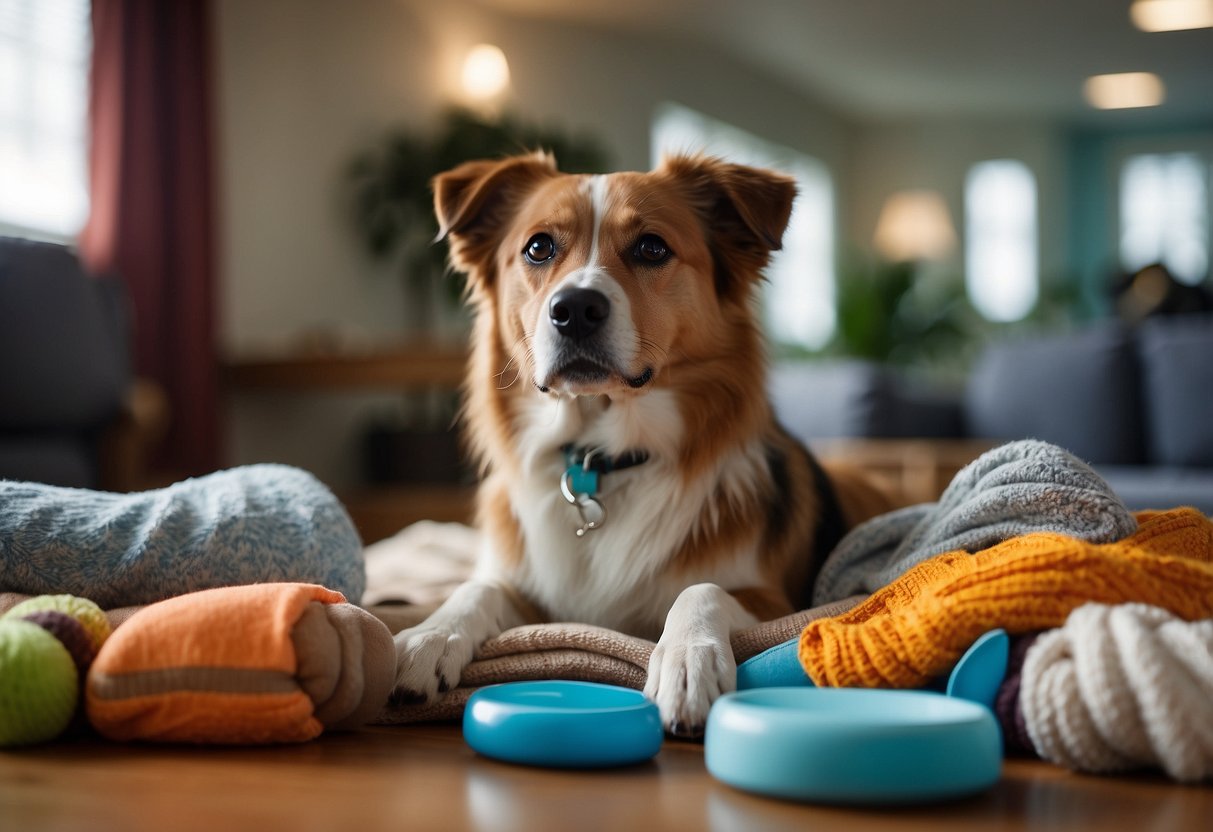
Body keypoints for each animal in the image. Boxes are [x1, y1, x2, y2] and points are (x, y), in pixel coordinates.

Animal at [393, 149, 897, 737]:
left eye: (652, 247)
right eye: (538, 247)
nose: (575, 309)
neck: (603, 459)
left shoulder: (777, 600)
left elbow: (700, 589)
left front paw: (687, 659)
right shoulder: (536, 594)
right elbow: (479, 588)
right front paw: (430, 636)